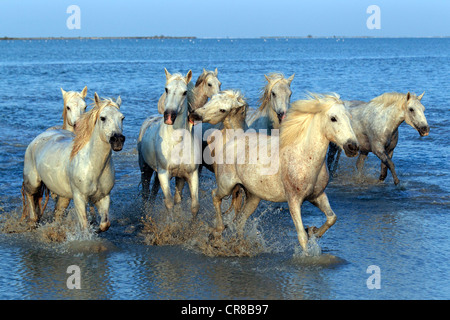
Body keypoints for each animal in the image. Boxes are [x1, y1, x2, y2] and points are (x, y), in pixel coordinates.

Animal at [22, 94, 125, 231]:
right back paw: (32, 221)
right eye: (103, 118)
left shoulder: (103, 197)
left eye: (122, 118)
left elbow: (105, 224)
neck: (92, 165)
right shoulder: (79, 198)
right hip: (33, 182)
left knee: (58, 213)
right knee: (30, 195)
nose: (118, 140)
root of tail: (38, 139)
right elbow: (85, 227)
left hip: (63, 195)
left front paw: (97, 228)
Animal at [137, 67, 200, 218]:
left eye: (185, 92)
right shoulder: (163, 174)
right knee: (146, 193)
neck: (177, 143)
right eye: (166, 89)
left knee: (154, 192)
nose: (169, 117)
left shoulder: (189, 175)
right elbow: (169, 203)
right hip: (145, 169)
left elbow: (192, 205)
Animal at [209, 92, 360, 252]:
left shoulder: (317, 195)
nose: (352, 147)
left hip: (253, 196)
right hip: (226, 185)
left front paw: (313, 231)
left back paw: (241, 245)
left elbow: (332, 218)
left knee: (240, 220)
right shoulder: (293, 200)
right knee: (215, 196)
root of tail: (231, 141)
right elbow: (302, 237)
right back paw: (218, 231)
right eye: (333, 118)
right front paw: (308, 248)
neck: (304, 156)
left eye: (349, 117)